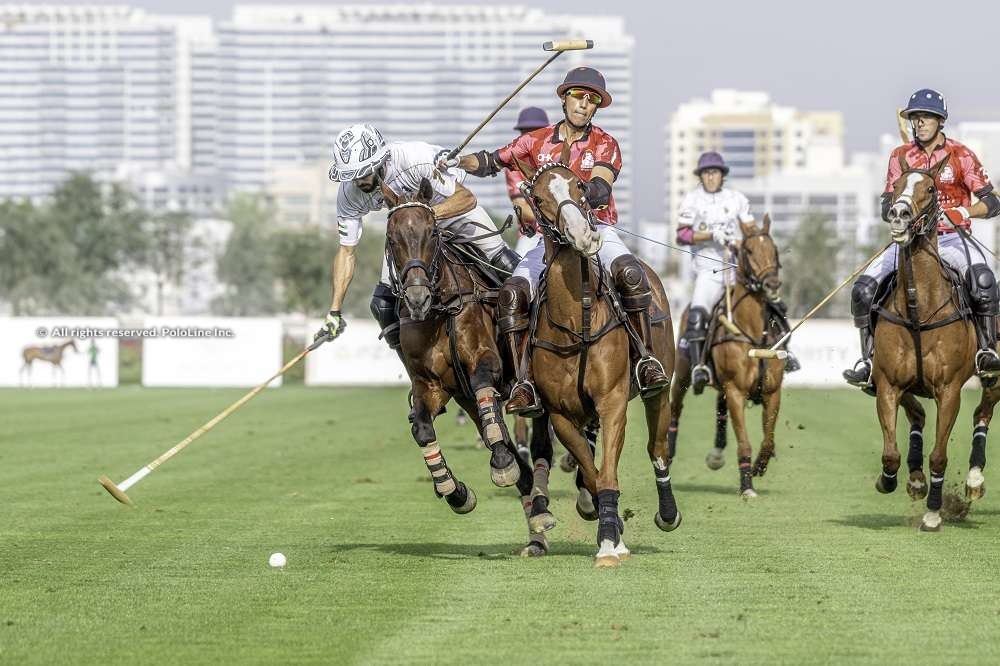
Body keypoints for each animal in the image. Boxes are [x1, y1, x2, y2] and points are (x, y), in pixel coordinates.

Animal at [508, 162, 680, 564]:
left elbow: (608, 473)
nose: (584, 236)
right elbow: (591, 471)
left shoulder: (612, 401)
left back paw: (667, 514)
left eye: (581, 187)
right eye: (538, 198)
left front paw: (609, 542)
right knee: (513, 297)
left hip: (658, 388)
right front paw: (606, 524)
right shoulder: (559, 412)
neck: (577, 321)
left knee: (658, 449)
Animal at [672, 215, 788, 496]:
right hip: (683, 371)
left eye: (774, 249)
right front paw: (747, 485)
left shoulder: (772, 391)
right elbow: (744, 441)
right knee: (675, 405)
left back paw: (716, 453)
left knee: (720, 408)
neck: (753, 333)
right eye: (748, 250)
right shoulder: (736, 390)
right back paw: (668, 450)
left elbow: (768, 438)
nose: (772, 285)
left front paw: (759, 466)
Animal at [868, 156, 976, 528]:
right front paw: (890, 480)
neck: (919, 309)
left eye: (931, 189)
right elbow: (890, 452)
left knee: (984, 413)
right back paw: (915, 480)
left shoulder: (949, 390)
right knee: (917, 416)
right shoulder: (888, 383)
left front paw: (932, 513)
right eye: (896, 186)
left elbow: (939, 455)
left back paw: (975, 480)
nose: (899, 214)